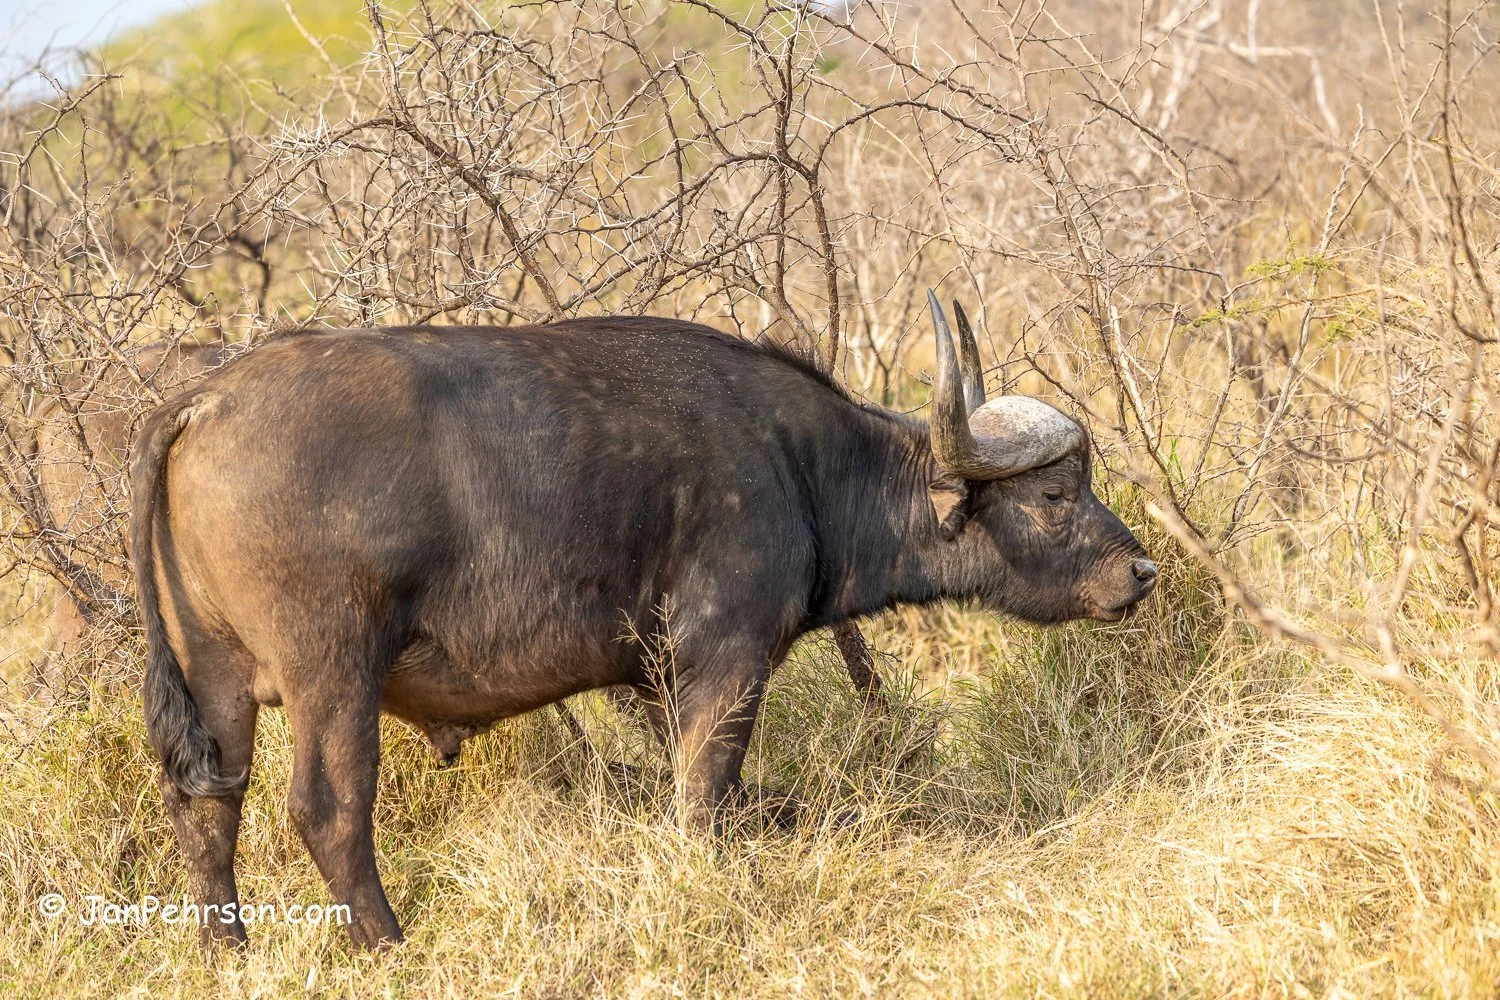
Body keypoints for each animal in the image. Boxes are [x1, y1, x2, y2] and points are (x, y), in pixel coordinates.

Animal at [130, 293, 1157, 948]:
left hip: (216, 681)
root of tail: (206, 399)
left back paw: (228, 951)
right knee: (328, 811)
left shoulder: (662, 682)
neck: (802, 467)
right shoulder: (726, 663)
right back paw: (385, 945)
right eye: (1057, 494)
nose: (1140, 571)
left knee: (204, 808)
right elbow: (705, 799)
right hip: (332, 674)